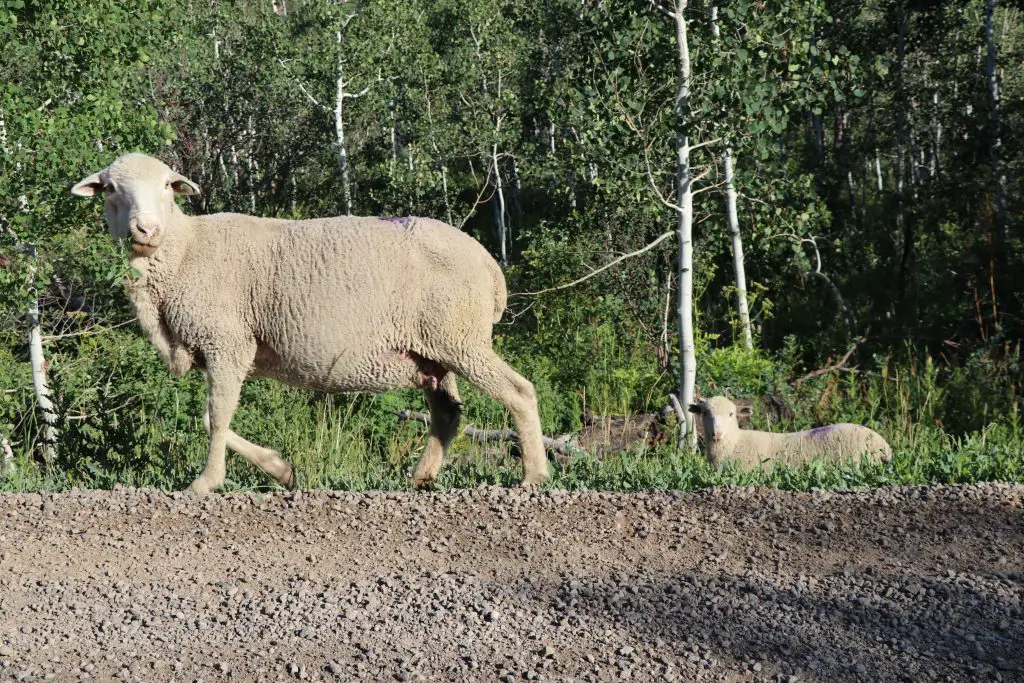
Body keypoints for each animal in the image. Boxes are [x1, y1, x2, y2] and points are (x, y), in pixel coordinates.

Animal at [74, 152, 552, 493]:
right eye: (111, 189)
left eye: (167, 188)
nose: (146, 229)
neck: (184, 250)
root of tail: (488, 264)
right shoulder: (223, 350)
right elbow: (212, 420)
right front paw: (282, 470)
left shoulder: (227, 342)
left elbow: (218, 416)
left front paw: (206, 483)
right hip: (432, 351)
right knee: (448, 413)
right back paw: (421, 477)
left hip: (460, 336)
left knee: (518, 392)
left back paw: (534, 475)